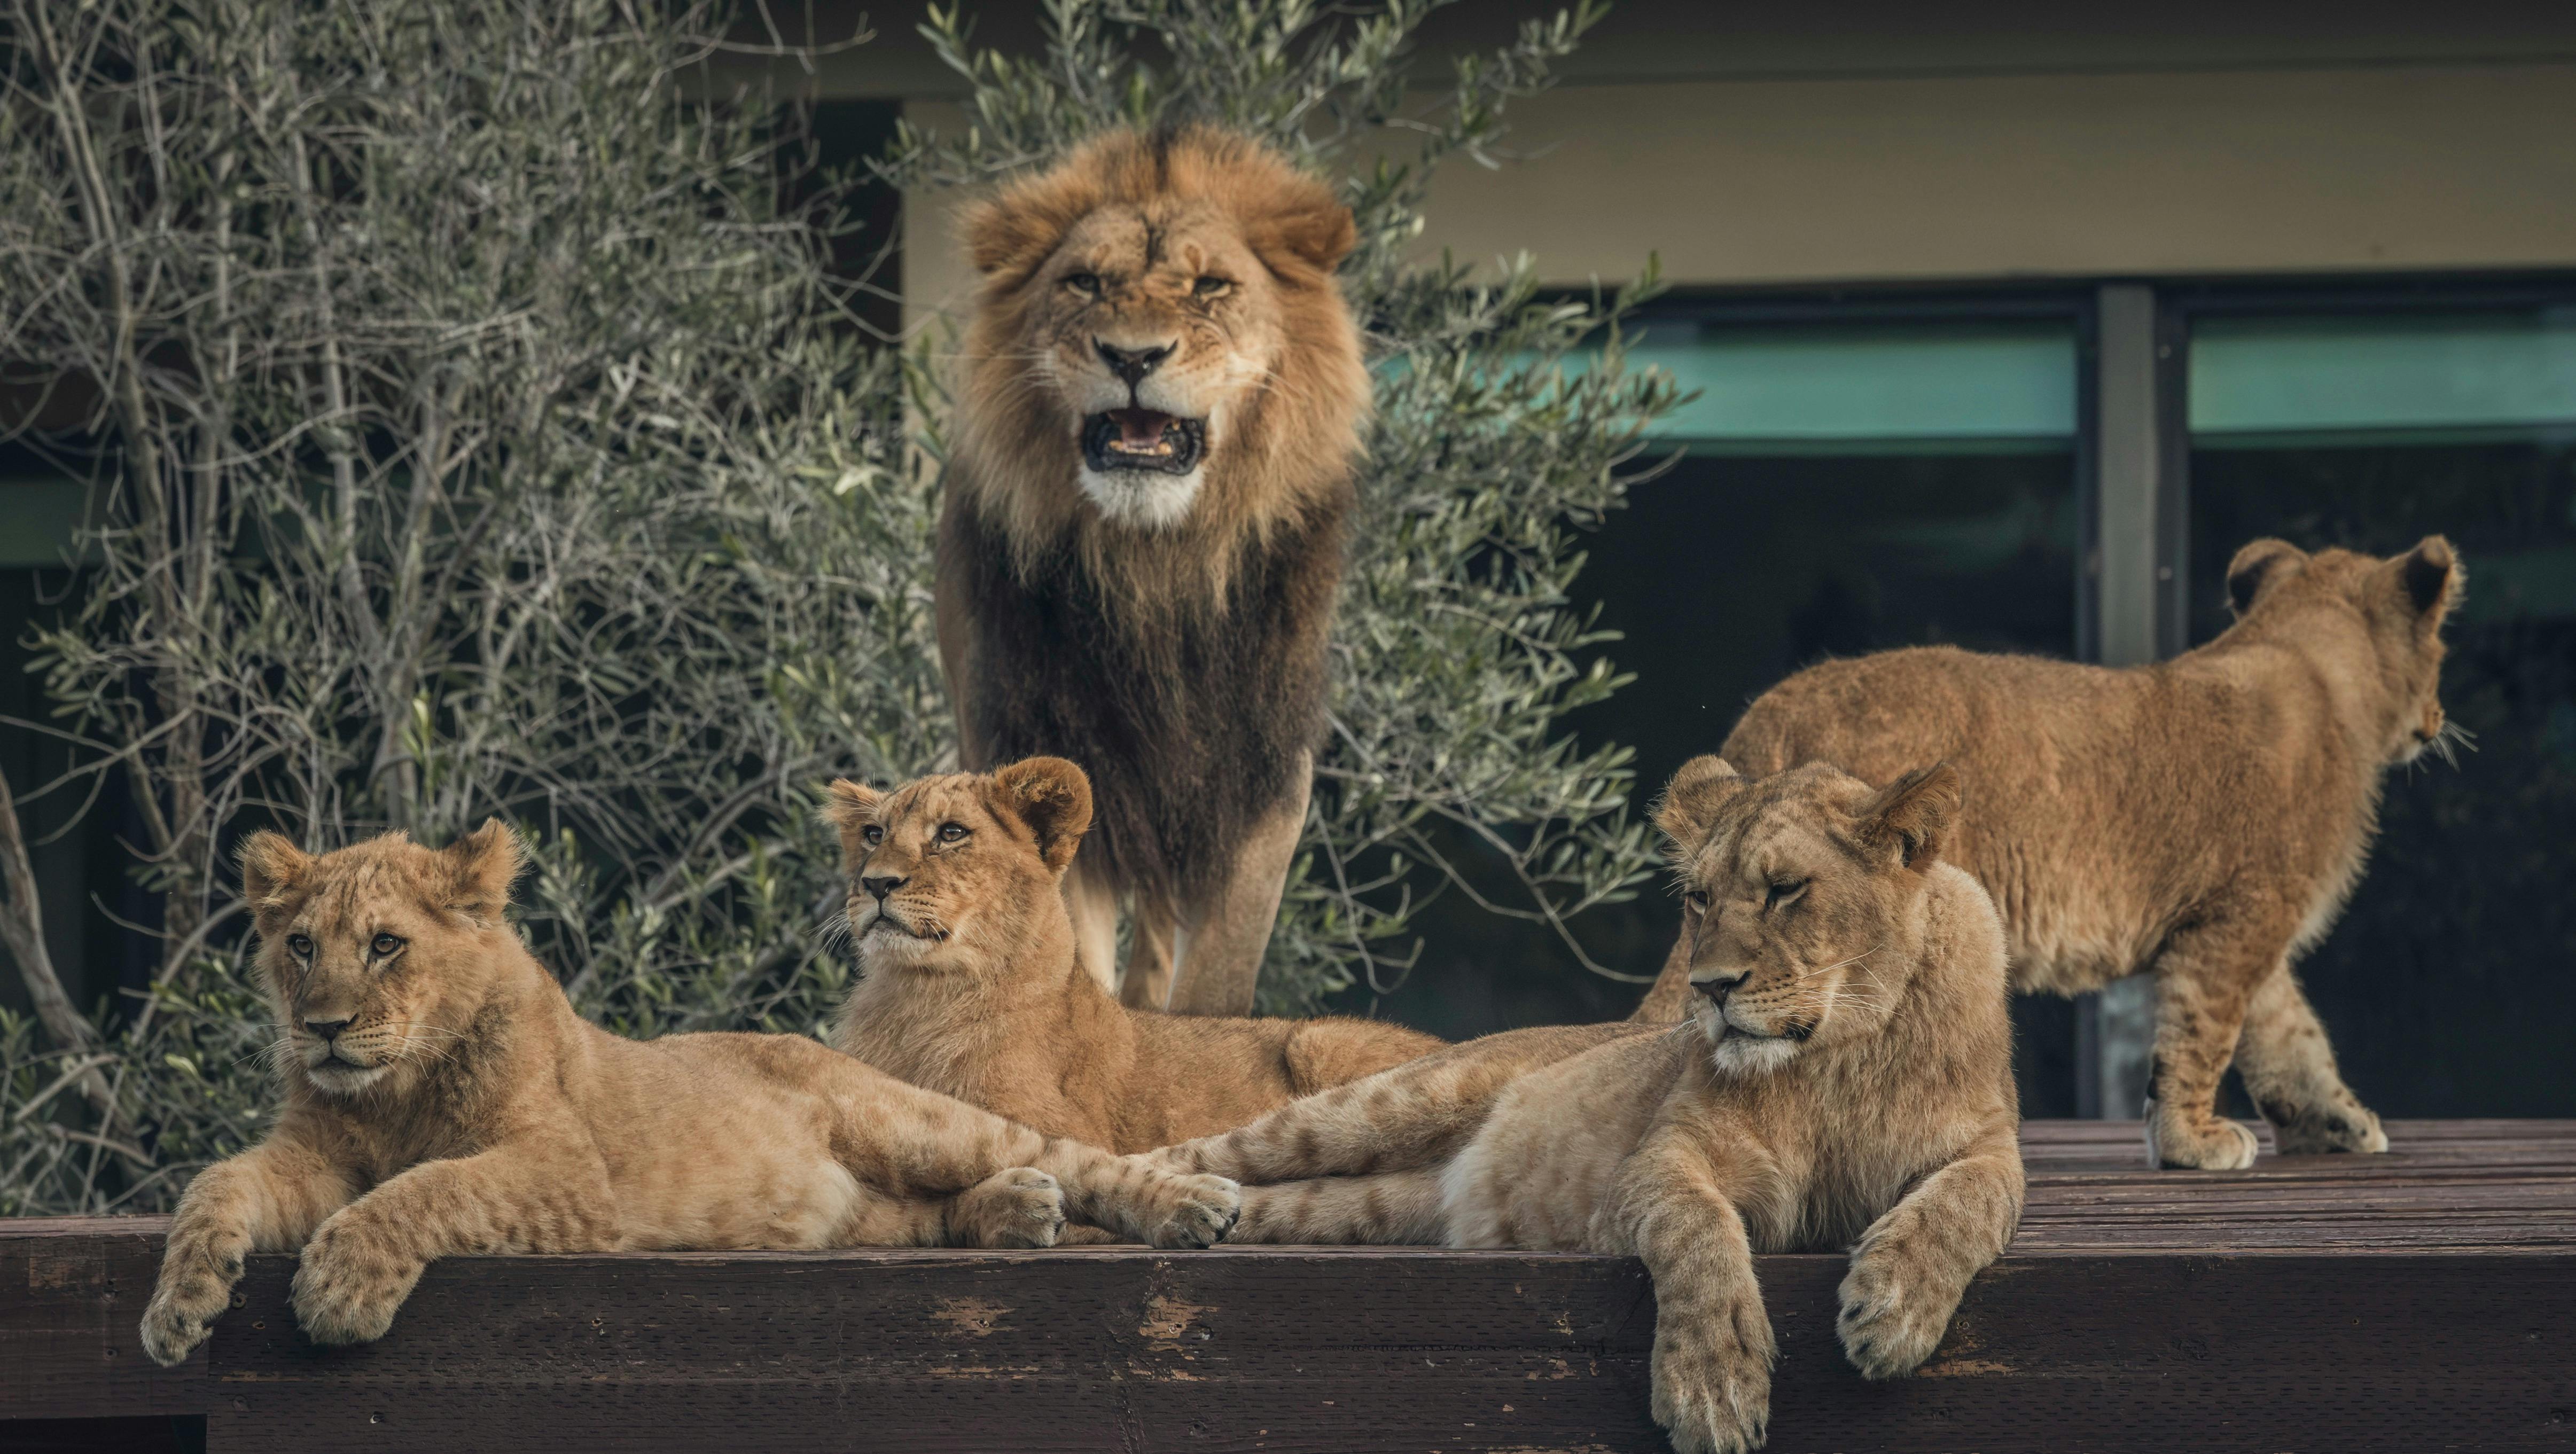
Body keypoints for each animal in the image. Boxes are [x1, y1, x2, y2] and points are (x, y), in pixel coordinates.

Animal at [139, 824, 1241, 1367]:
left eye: (384, 944)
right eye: (299, 946)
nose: (322, 1028)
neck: (390, 1095)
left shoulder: (564, 1171)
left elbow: (424, 1189)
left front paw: (339, 1288)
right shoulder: (311, 1154)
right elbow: (213, 1183)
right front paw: (177, 1307)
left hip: (907, 1118)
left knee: (1069, 1156)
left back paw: (1190, 1205)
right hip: (870, 1205)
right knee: (936, 1212)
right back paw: (1016, 1213)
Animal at [823, 756, 1444, 1152]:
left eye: (951, 833)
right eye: (874, 835)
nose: (876, 884)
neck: (913, 995)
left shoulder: (1064, 1132)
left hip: (1319, 1039)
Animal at [939, 125, 1370, 1016]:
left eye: (1211, 287)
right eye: (1084, 281)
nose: (1131, 356)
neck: (1155, 564)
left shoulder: (1261, 780)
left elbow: (1217, 979)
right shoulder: (1048, 758)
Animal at [1147, 757, 2024, 1454]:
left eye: (1783, 891)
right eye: (1699, 898)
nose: (1708, 988)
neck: (1833, 1057)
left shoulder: (1988, 1142)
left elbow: (1969, 1199)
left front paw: (1894, 1309)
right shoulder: (1659, 1158)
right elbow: (1697, 1231)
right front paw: (1711, 1387)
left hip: (1360, 1204)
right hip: (1388, 1101)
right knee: (1185, 1152)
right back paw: (1164, 1201)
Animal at [1633, 535, 2464, 1170]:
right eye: (2443, 647)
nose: (2438, 717)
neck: (2317, 667)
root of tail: (1775, 709)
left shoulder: (2234, 919)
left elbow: (2289, 1034)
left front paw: (2336, 1124)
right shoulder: (2238, 917)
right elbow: (2205, 1035)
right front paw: (2192, 1143)